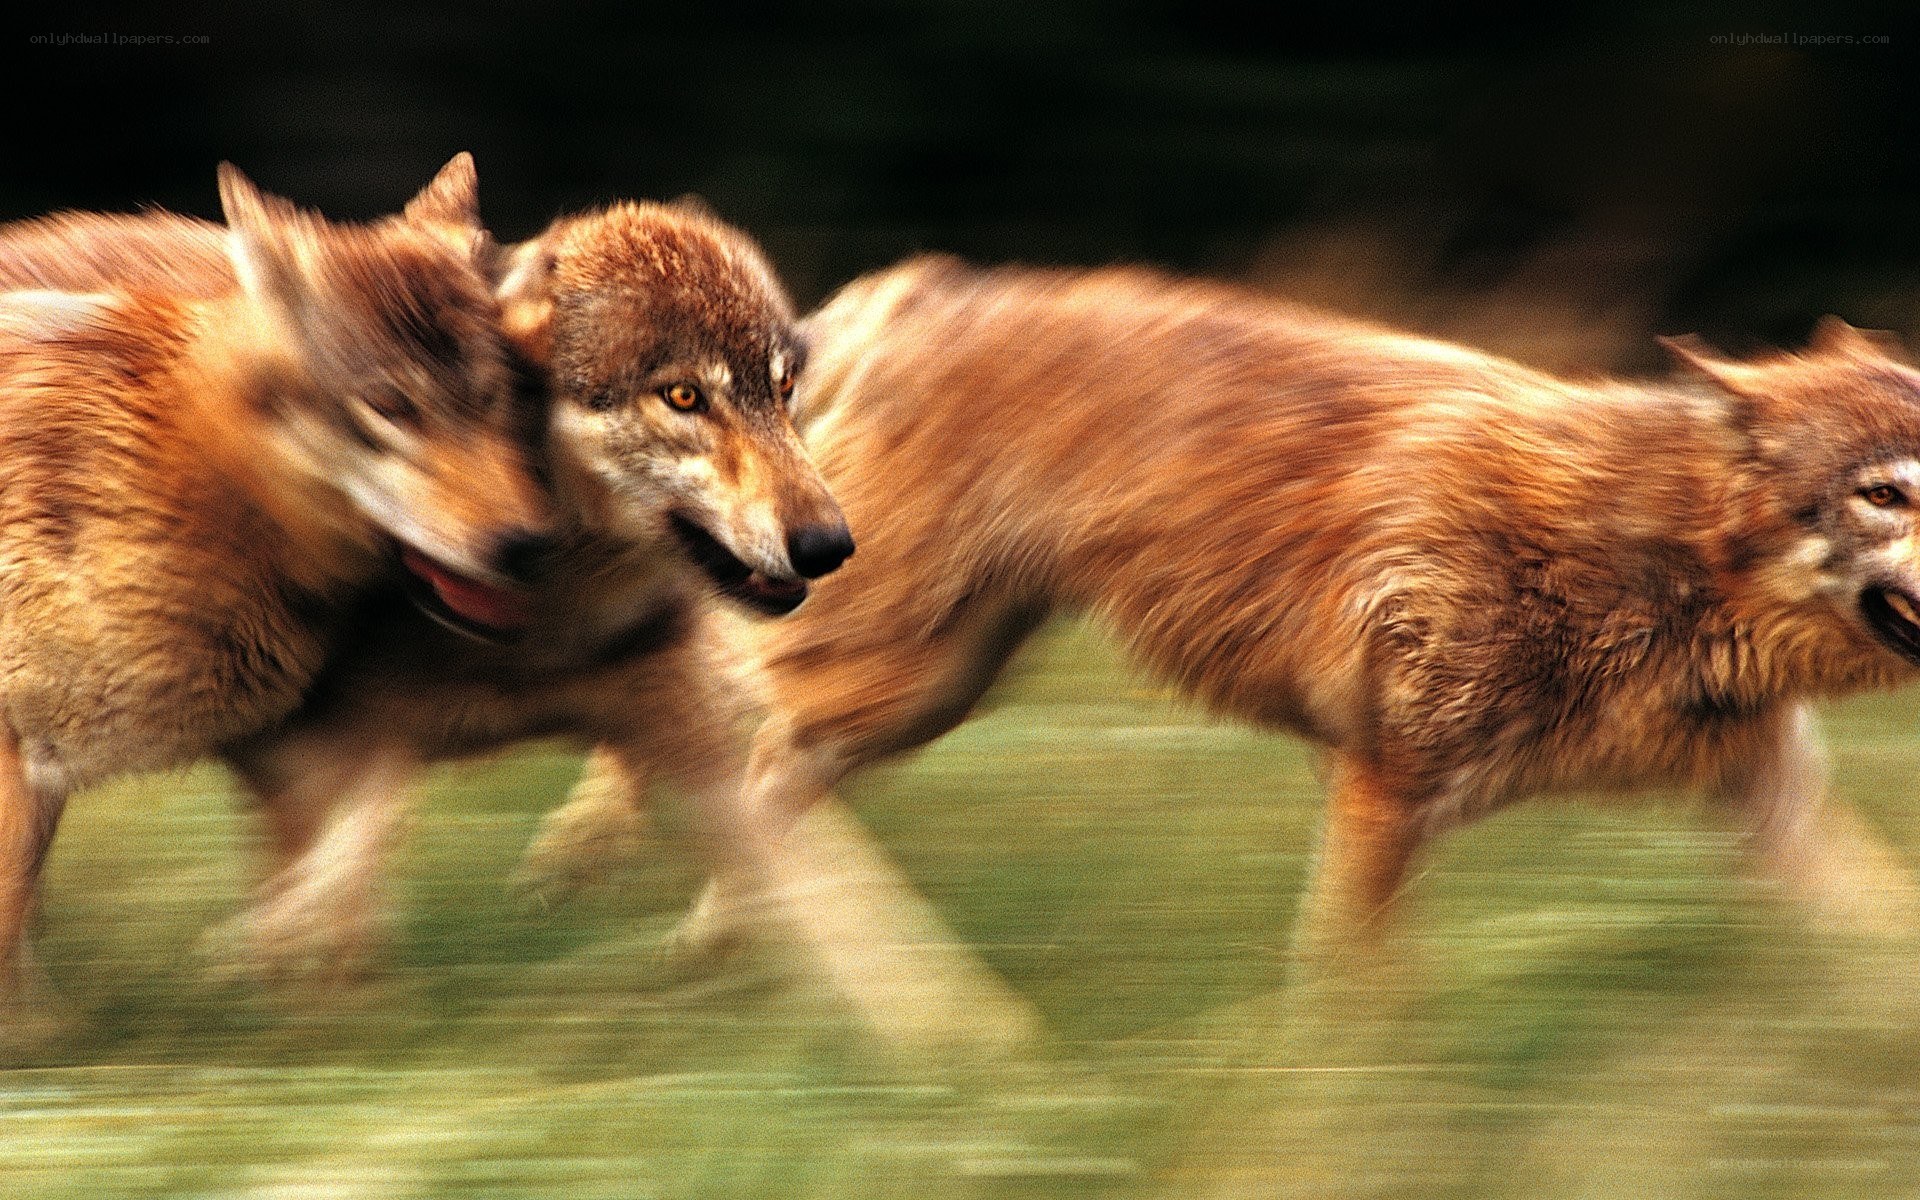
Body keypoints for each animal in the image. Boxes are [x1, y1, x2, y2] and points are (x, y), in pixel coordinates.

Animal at [534, 256, 1920, 993]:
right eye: (1890, 491)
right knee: (708, 705)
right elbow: (1350, 1011)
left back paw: (722, 950)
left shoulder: (1775, 809)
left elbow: (1884, 956)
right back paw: (594, 865)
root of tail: (916, 286)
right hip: (886, 676)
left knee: (763, 777)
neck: (1651, 558)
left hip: (916, 700)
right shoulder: (1384, 791)